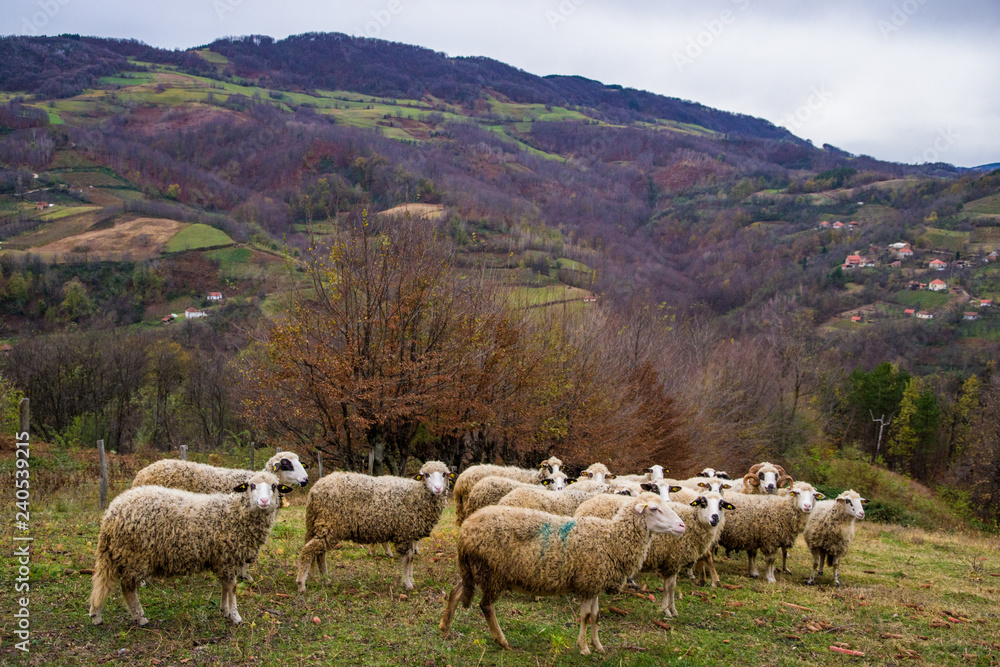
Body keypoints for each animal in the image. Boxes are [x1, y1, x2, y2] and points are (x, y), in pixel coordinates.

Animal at [88, 471, 292, 626]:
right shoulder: (227, 557)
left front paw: (225, 610)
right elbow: (232, 587)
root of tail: (112, 512)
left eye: (274, 486)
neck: (235, 513)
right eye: (252, 486)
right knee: (127, 587)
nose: (264, 501)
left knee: (102, 582)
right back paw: (140, 618)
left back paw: (96, 615)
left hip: (119, 554)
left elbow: (225, 586)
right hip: (135, 556)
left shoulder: (223, 558)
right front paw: (235, 616)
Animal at [296, 461, 452, 592]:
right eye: (426, 475)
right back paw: (301, 584)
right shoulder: (404, 533)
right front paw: (407, 583)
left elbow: (411, 559)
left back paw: (326, 580)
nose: (438, 488)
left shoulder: (411, 534)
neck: (417, 493)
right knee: (309, 550)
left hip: (323, 525)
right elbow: (407, 559)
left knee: (319, 553)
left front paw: (411, 580)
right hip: (331, 524)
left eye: (444, 474)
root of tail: (315, 489)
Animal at [439, 499, 686, 655]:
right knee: (486, 606)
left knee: (456, 592)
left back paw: (445, 628)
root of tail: (466, 529)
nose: (682, 526)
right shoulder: (588, 582)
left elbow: (596, 616)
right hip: (493, 573)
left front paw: (598, 646)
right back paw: (502, 641)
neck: (611, 538)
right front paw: (584, 648)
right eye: (654, 508)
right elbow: (586, 616)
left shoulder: (594, 583)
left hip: (474, 570)